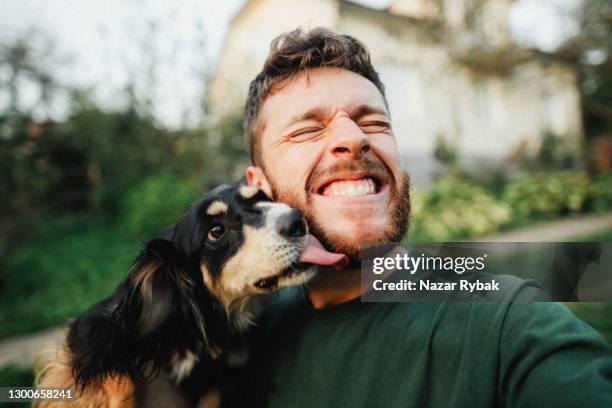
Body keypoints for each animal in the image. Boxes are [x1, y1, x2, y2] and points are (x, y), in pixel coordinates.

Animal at [35, 183, 346, 406]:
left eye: (263, 198)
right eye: (216, 231)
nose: (298, 221)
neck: (194, 327)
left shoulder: (221, 382)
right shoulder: (89, 335)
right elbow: (116, 384)